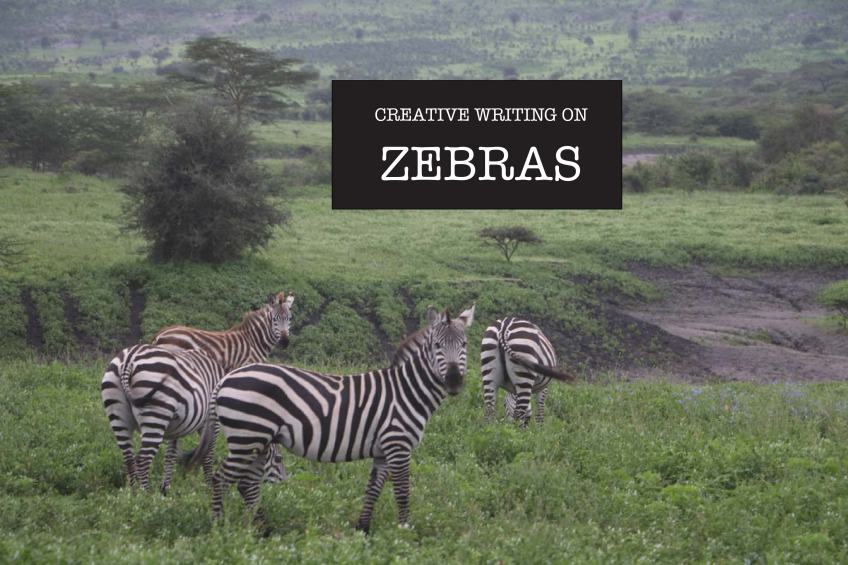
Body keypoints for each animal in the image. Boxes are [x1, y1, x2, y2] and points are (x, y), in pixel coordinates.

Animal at [152, 291, 294, 373]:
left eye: (289, 318)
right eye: (275, 319)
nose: (285, 342)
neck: (254, 341)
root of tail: (161, 333)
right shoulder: (245, 366)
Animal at [189, 304, 475, 533]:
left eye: (464, 346)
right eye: (437, 346)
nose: (454, 381)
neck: (406, 391)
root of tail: (225, 379)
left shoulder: (383, 451)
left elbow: (373, 489)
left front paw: (363, 529)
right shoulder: (398, 445)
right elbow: (403, 491)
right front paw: (405, 532)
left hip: (258, 441)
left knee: (247, 484)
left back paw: (262, 530)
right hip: (246, 438)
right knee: (221, 479)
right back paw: (218, 528)